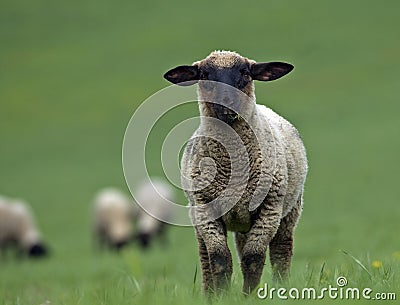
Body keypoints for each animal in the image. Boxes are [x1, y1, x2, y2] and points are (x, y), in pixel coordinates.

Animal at [164, 51, 308, 294]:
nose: (227, 103)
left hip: (288, 212)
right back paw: (208, 293)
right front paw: (221, 296)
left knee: (281, 253)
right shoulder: (205, 209)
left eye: (245, 73)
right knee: (206, 258)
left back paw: (282, 288)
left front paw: (248, 296)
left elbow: (254, 258)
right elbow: (219, 259)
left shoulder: (269, 209)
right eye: (204, 75)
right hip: (205, 218)